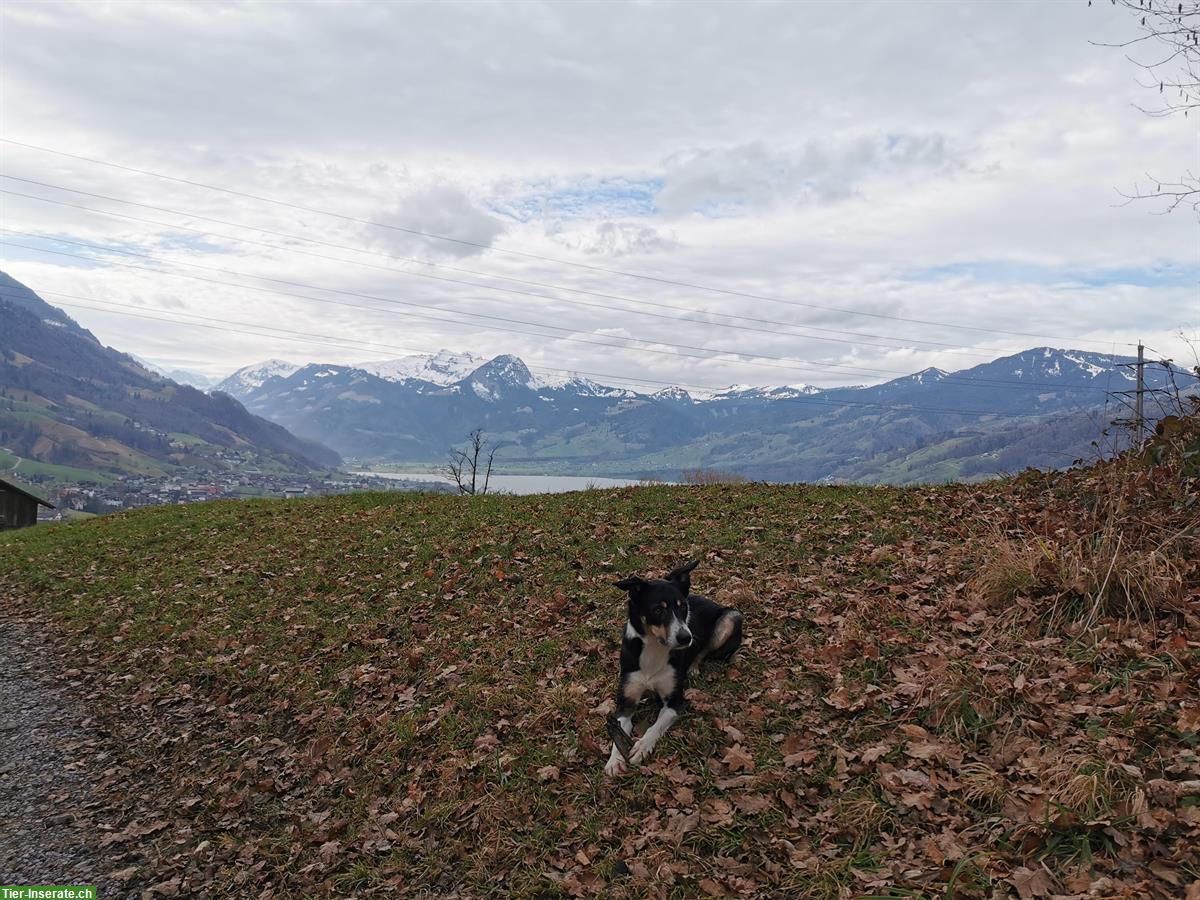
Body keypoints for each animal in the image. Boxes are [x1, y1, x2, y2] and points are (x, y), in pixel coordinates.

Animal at [609, 561, 739, 777]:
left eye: (683, 607)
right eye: (657, 610)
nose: (685, 638)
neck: (655, 647)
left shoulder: (675, 701)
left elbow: (655, 726)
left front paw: (642, 746)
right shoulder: (626, 700)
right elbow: (618, 728)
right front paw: (614, 760)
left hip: (731, 618)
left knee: (704, 649)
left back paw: (693, 668)